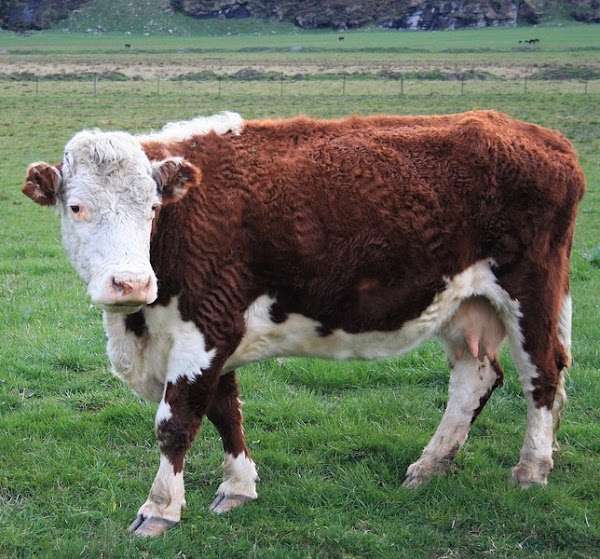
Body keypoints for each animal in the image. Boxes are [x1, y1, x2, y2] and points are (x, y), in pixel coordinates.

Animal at [21, 110, 584, 540]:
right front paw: (238, 487)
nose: (131, 282)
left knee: (542, 374)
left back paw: (531, 470)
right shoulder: (214, 330)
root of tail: (539, 135)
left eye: (153, 207)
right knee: (477, 376)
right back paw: (430, 465)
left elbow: (177, 422)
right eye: (77, 206)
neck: (140, 325)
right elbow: (226, 410)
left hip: (531, 289)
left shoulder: (208, 326)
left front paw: (159, 510)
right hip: (465, 301)